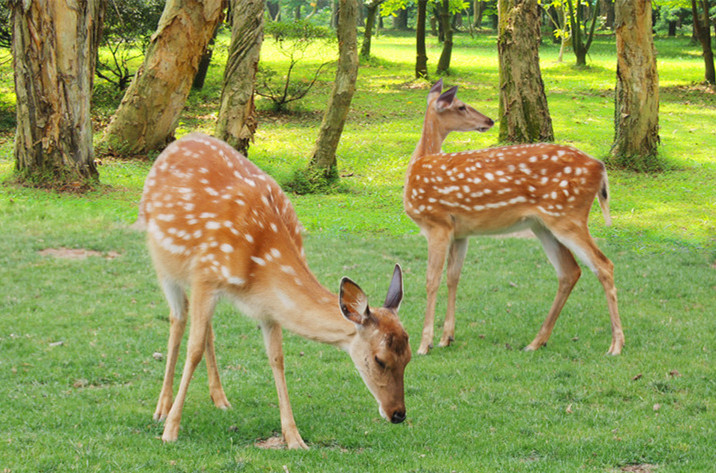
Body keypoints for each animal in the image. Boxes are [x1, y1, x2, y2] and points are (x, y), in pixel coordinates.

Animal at [137, 133, 412, 446]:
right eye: (379, 360)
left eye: (409, 357)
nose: (398, 414)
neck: (260, 262)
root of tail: (178, 141)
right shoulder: (205, 275)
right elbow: (192, 350)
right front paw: (171, 431)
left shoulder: (266, 306)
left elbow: (277, 359)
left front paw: (294, 438)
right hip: (163, 261)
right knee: (178, 317)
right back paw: (162, 408)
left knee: (206, 328)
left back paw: (220, 398)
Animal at [406, 80, 624, 354]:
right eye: (461, 106)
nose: (489, 120)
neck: (418, 165)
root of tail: (600, 167)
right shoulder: (460, 232)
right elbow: (453, 277)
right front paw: (447, 338)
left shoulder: (437, 223)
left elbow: (430, 279)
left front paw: (425, 344)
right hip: (544, 224)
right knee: (570, 271)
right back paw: (536, 342)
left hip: (567, 216)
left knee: (604, 265)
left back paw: (616, 345)